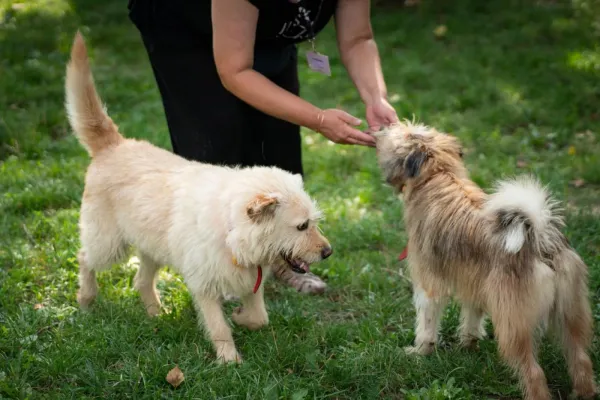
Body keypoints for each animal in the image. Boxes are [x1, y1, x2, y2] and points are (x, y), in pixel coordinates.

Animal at [65, 33, 332, 362]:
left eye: (313, 222)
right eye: (301, 226)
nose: (328, 252)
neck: (231, 233)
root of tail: (114, 144)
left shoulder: (248, 280)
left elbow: (260, 317)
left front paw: (241, 317)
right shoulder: (204, 285)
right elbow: (218, 327)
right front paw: (229, 361)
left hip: (152, 248)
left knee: (141, 280)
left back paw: (156, 314)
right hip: (108, 243)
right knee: (84, 258)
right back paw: (86, 299)